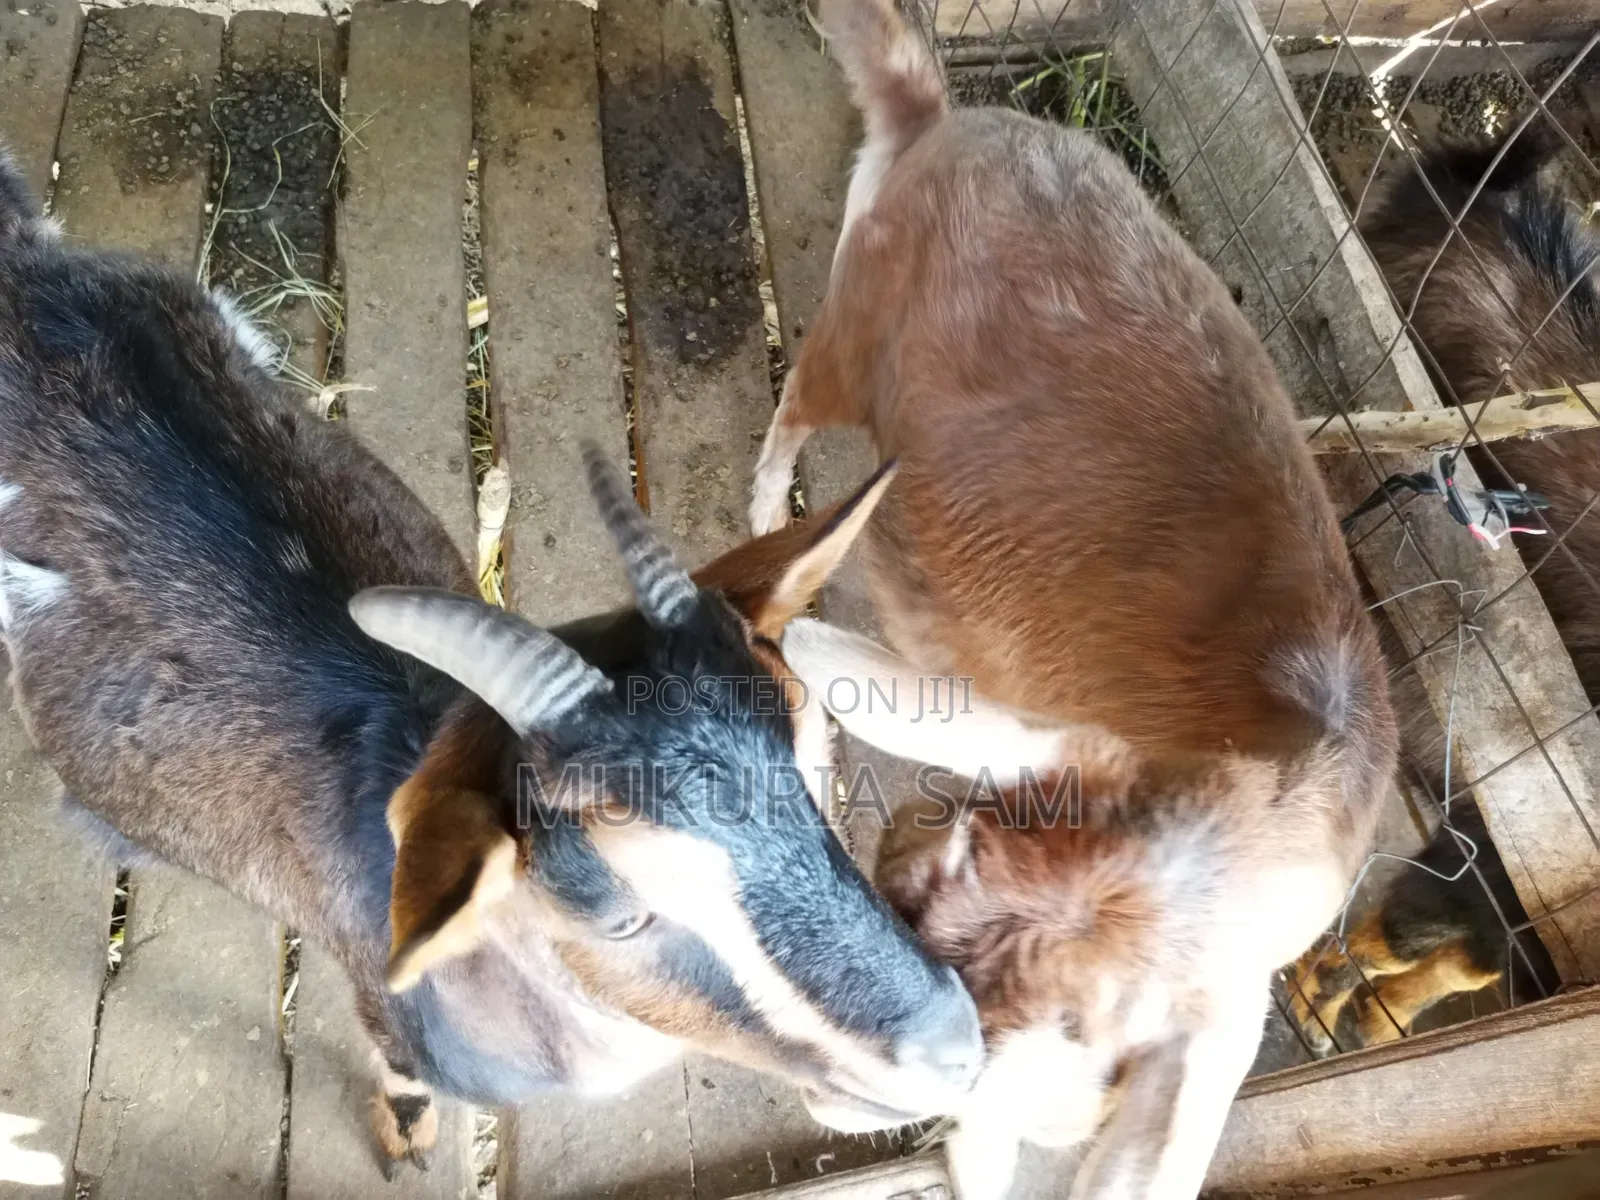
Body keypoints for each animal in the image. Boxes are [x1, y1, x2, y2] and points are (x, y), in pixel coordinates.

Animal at [745, 1, 1398, 1195]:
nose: (812, 1070)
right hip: (852, 325)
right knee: (794, 409)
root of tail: (945, 120)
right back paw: (769, 499)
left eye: (973, 1062)